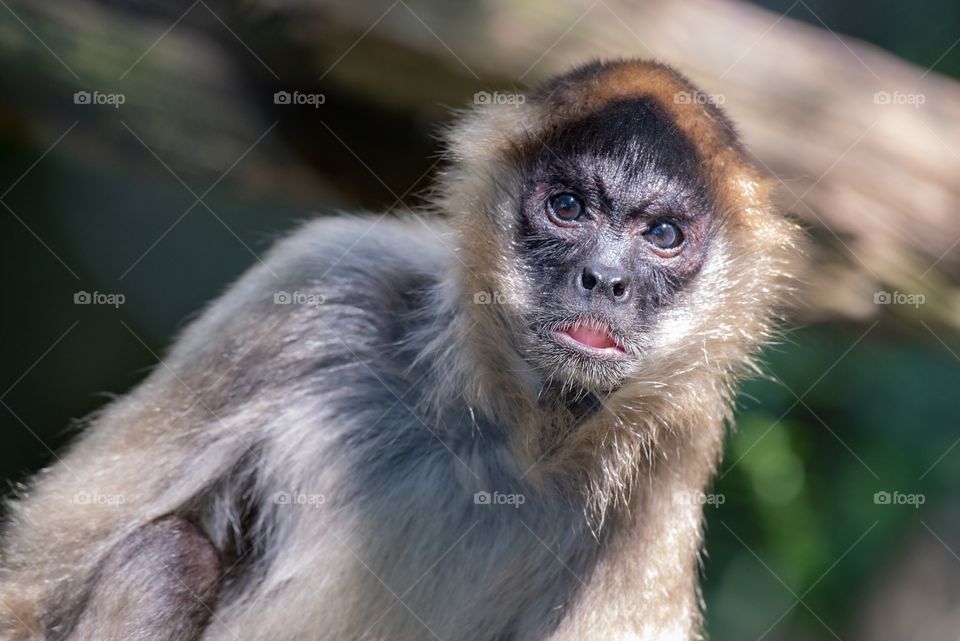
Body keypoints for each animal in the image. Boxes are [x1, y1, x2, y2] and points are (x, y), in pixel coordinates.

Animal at [0, 59, 802, 641]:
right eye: (568, 208)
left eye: (662, 235)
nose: (604, 278)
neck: (502, 438)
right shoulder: (329, 280)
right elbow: (25, 596)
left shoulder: (676, 444)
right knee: (169, 556)